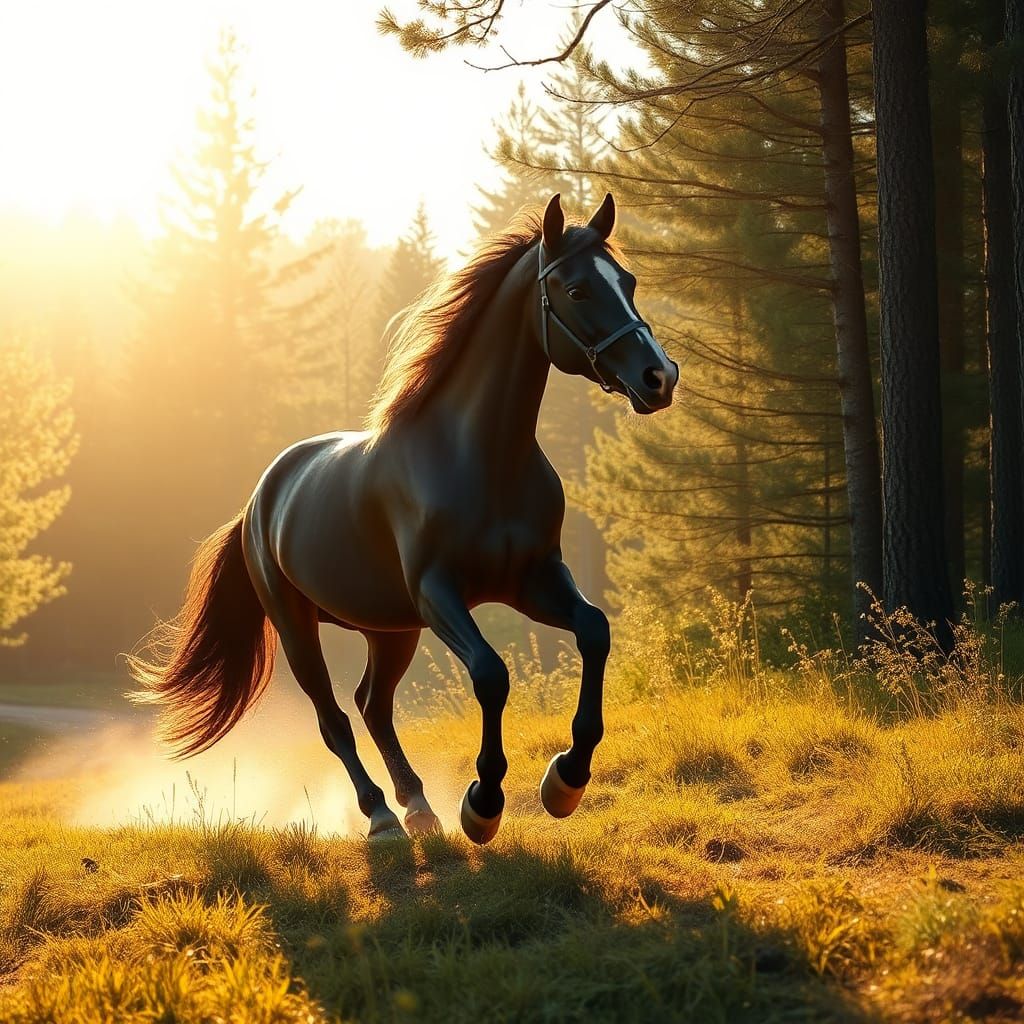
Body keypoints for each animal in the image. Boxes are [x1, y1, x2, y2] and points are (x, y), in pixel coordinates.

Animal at [128, 192, 678, 844]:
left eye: (629, 282)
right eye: (576, 290)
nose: (659, 377)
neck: (480, 459)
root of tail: (259, 502)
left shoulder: (533, 580)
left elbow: (594, 630)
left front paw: (565, 781)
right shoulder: (437, 594)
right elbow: (491, 674)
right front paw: (483, 804)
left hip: (389, 630)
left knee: (374, 705)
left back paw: (417, 805)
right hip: (298, 626)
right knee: (335, 717)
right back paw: (383, 816)